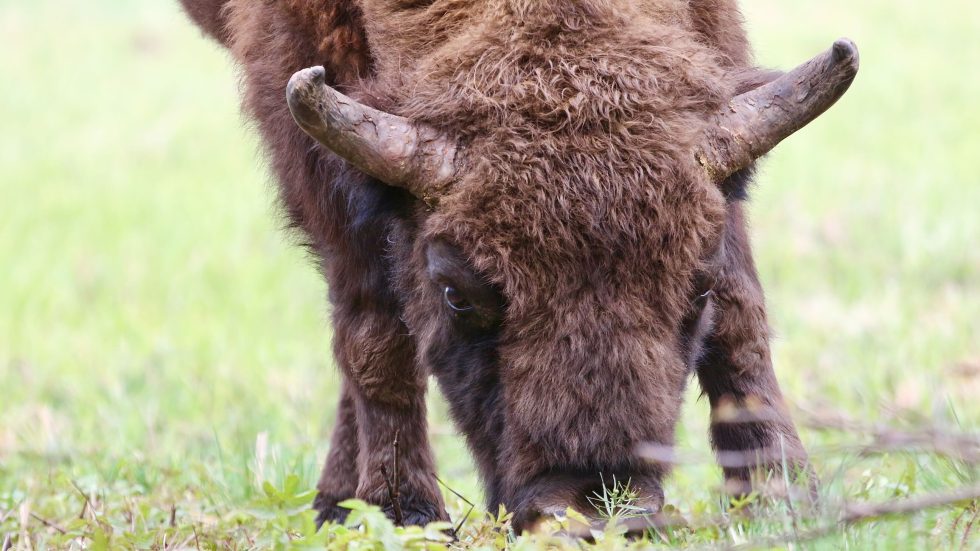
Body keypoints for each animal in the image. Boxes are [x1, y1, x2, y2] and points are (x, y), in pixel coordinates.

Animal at [179, 0, 858, 531]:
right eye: (455, 293)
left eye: (698, 288)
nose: (590, 511)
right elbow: (373, 332)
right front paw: (406, 516)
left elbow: (742, 315)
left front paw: (782, 500)